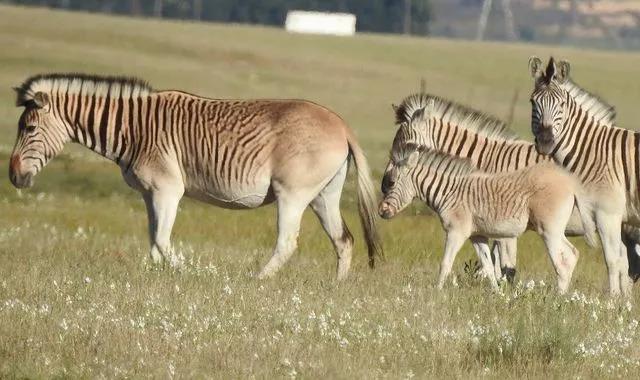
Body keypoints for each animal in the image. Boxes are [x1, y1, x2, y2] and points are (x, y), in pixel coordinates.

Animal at [7, 72, 382, 280]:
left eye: (29, 128)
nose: (13, 176)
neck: (134, 130)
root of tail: (342, 125)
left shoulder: (168, 189)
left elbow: (162, 240)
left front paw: (188, 273)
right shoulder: (149, 193)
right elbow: (153, 241)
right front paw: (151, 278)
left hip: (293, 194)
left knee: (287, 242)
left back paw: (256, 281)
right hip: (323, 195)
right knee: (344, 240)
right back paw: (336, 288)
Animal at [380, 141, 584, 292]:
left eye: (391, 182)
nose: (381, 211)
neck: (449, 193)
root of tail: (570, 183)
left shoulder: (456, 232)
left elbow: (445, 263)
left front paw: (436, 294)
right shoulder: (477, 236)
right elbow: (488, 267)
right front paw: (498, 295)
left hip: (549, 230)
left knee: (564, 261)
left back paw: (558, 298)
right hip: (554, 231)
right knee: (573, 254)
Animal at [388, 92, 604, 282]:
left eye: (406, 144)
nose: (384, 184)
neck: (488, 161)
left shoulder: (505, 227)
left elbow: (505, 265)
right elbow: (493, 263)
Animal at [524, 56, 636, 296]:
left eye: (561, 105)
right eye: (532, 102)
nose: (545, 141)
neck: (593, 151)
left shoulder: (607, 213)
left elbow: (612, 260)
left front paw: (612, 300)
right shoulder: (615, 217)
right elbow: (623, 262)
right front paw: (624, 300)